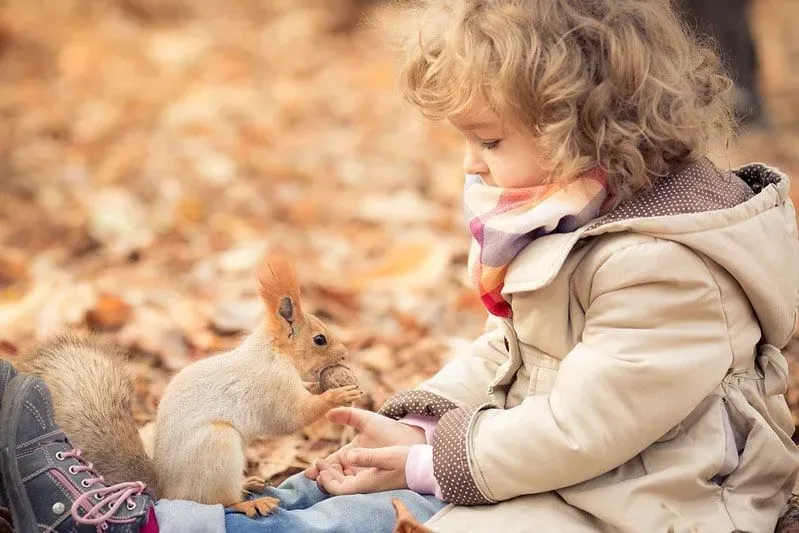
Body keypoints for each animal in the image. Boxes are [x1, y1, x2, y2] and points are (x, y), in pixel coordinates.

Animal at [10, 252, 360, 516]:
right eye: (319, 339)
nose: (345, 354)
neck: (273, 352)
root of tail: (167, 489)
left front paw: (320, 387)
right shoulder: (270, 384)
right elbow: (290, 417)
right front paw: (337, 394)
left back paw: (248, 485)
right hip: (217, 444)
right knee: (216, 500)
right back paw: (248, 503)